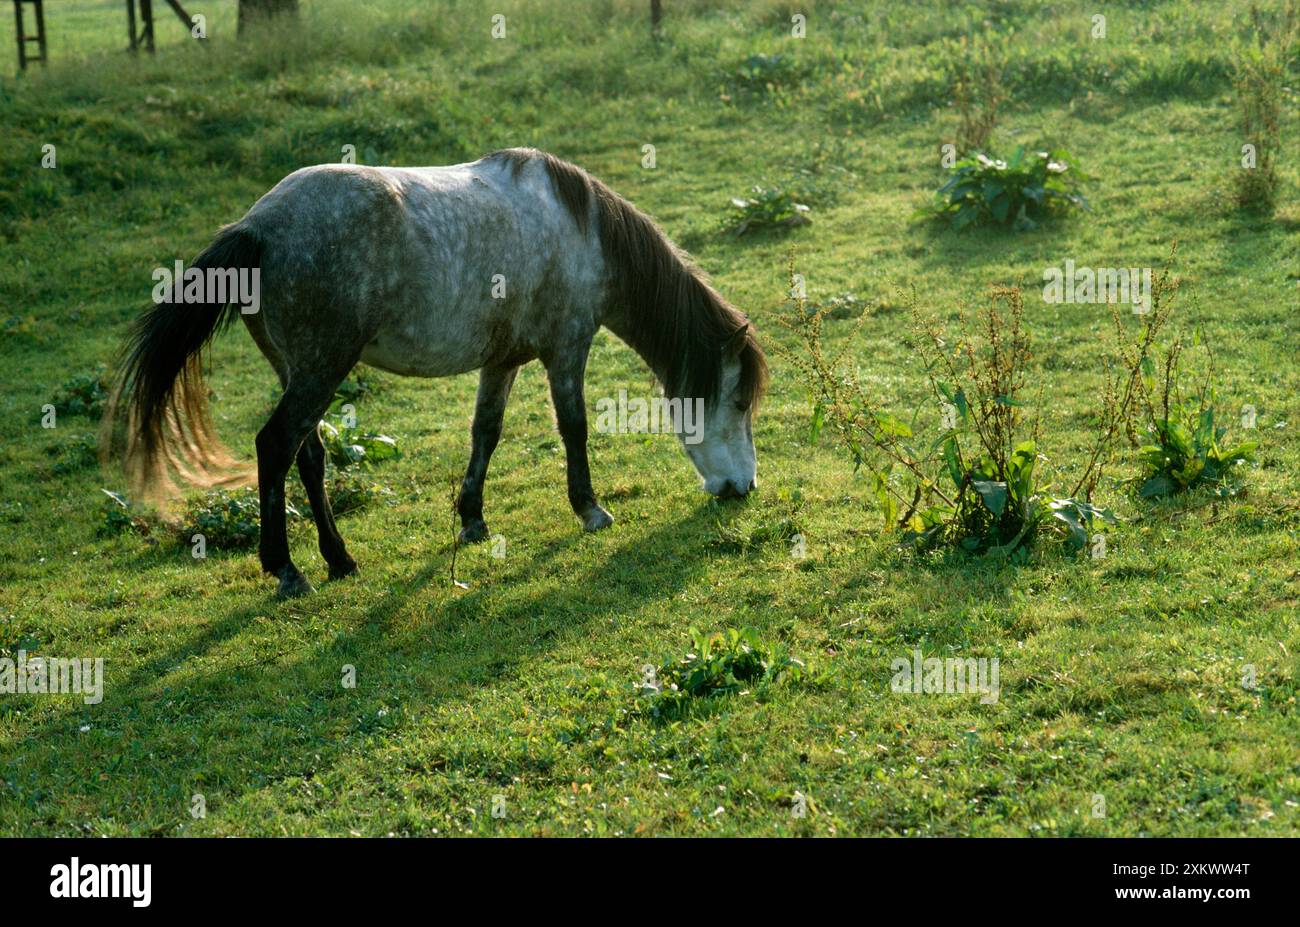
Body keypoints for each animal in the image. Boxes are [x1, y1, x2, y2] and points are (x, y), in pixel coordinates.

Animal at [109, 148, 769, 595]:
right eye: (738, 403)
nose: (743, 488)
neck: (582, 231)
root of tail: (257, 226)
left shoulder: (502, 361)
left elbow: (487, 432)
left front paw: (472, 518)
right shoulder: (567, 348)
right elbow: (575, 428)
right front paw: (590, 510)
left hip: (297, 371)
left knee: (308, 454)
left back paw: (339, 559)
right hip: (322, 368)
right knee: (275, 446)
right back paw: (288, 569)